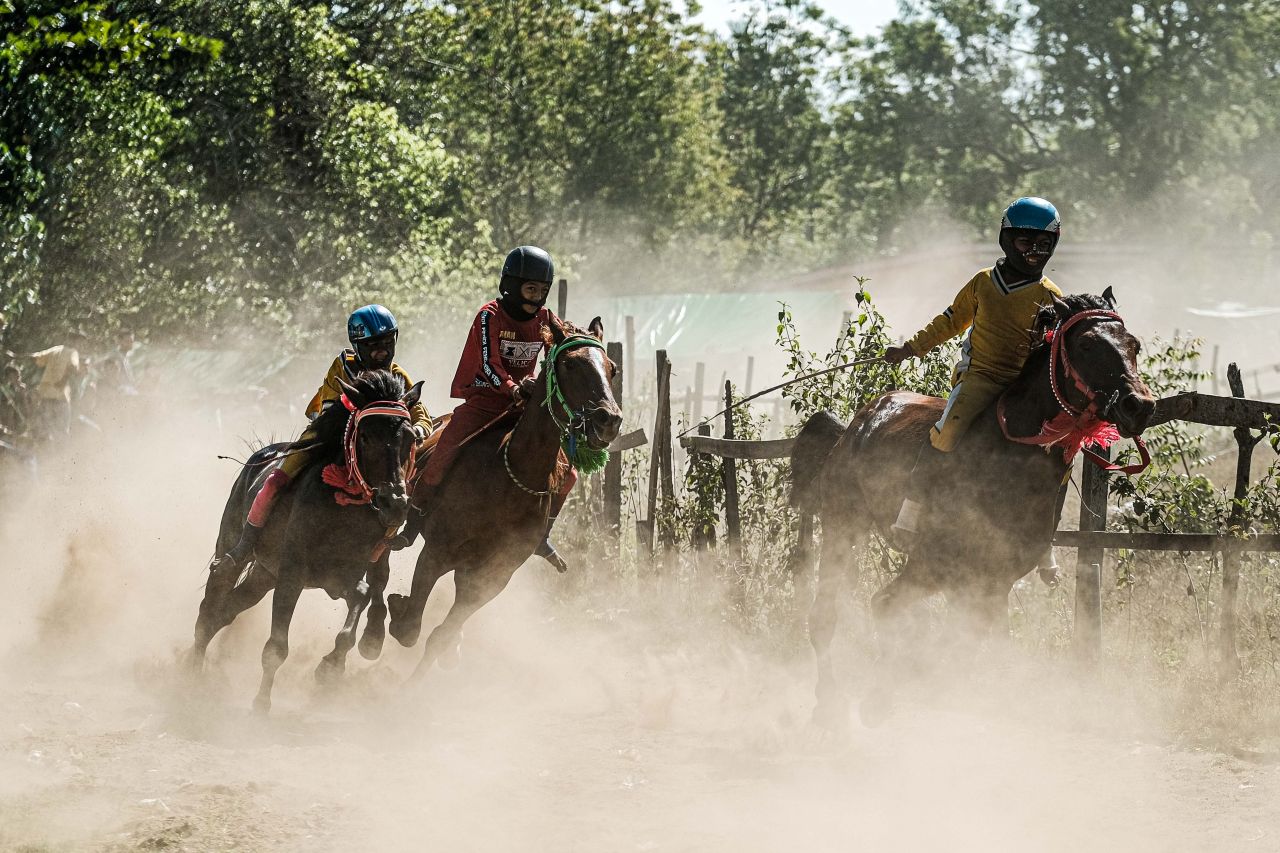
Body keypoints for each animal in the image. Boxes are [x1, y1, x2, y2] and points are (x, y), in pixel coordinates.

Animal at [189, 368, 419, 706]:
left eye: (410, 438)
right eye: (365, 436)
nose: (395, 503)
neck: (341, 506)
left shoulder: (337, 576)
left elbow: (361, 596)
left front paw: (331, 666)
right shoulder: (292, 574)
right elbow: (276, 648)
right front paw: (260, 706)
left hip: (265, 574)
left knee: (225, 611)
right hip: (232, 544)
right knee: (210, 607)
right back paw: (189, 677)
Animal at [386, 315, 622, 681]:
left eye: (612, 368)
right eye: (570, 364)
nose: (608, 419)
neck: (510, 478)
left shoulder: (492, 579)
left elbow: (439, 635)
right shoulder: (437, 553)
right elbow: (410, 626)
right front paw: (397, 614)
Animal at [788, 286, 1162, 722]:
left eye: (1133, 345)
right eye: (1086, 344)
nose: (1139, 405)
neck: (1009, 455)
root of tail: (858, 423)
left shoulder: (992, 582)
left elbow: (968, 648)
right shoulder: (937, 565)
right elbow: (890, 611)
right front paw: (881, 697)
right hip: (843, 523)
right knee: (827, 613)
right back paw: (830, 703)